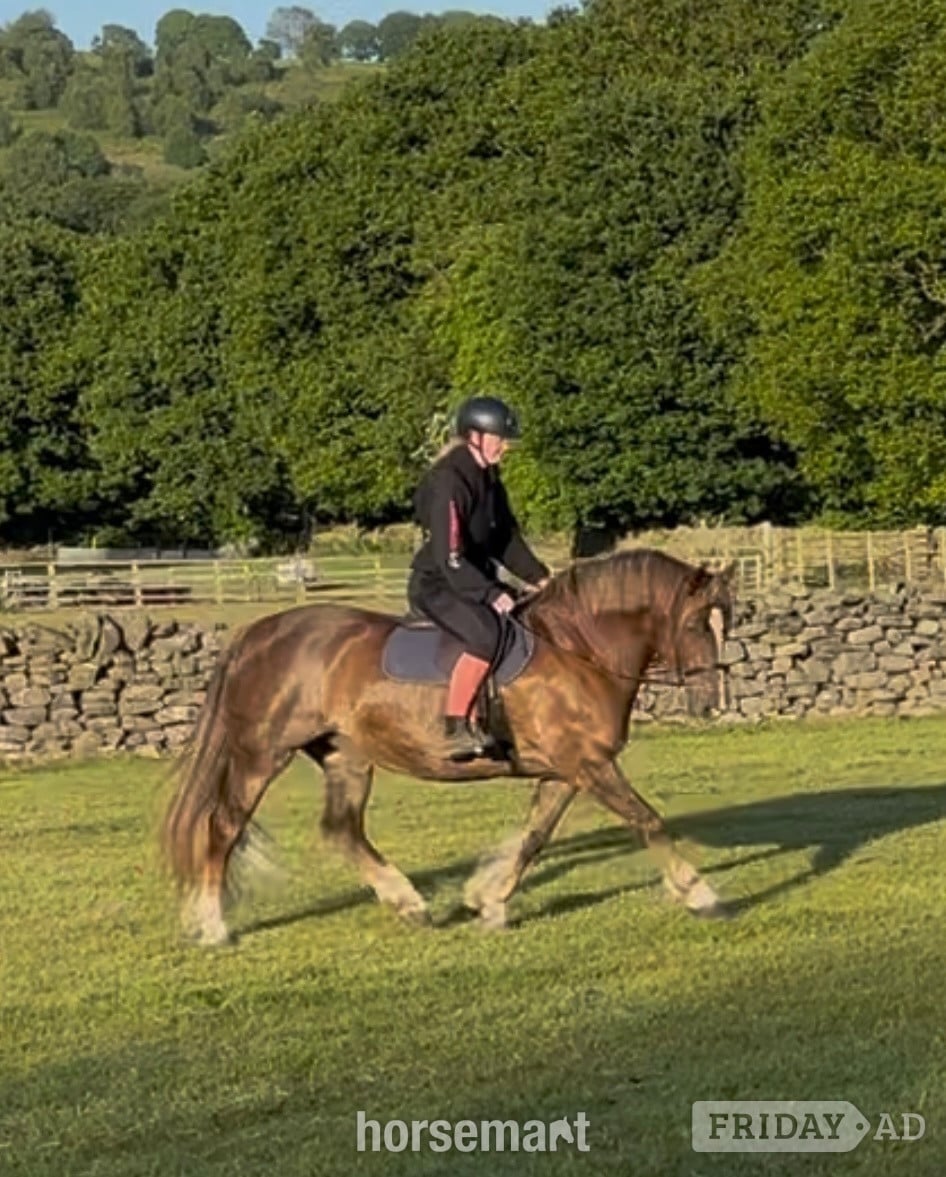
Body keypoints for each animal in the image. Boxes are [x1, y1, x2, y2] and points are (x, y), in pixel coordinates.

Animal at [163, 548, 735, 944]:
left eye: (725, 622)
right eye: (692, 624)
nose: (711, 703)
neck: (577, 651)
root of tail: (256, 633)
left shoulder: (566, 771)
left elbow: (534, 837)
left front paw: (490, 901)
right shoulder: (589, 765)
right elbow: (647, 820)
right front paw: (700, 892)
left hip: (346, 755)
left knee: (342, 829)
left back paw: (409, 904)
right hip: (261, 755)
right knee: (224, 826)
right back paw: (213, 926)